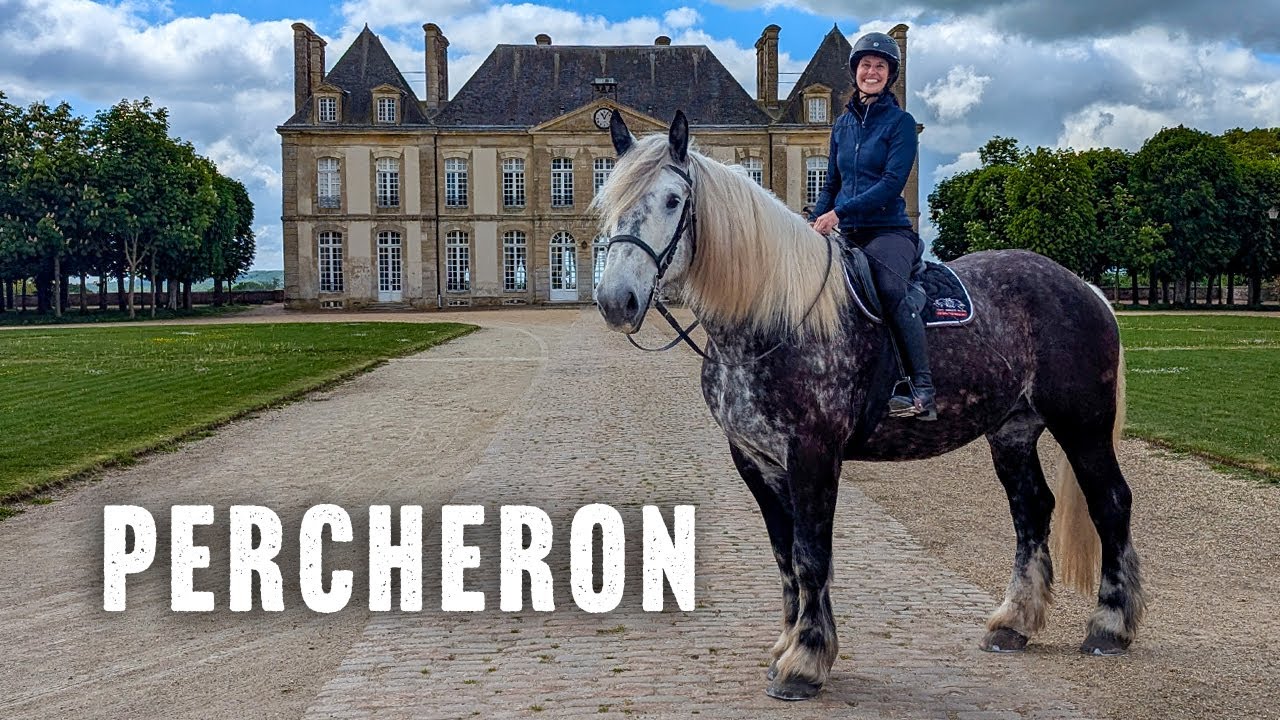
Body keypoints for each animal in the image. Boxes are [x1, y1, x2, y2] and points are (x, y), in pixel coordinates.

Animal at [592, 110, 1145, 701]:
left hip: (1083, 425)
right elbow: (785, 555)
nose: (616, 300)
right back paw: (1013, 623)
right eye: (610, 196)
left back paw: (1110, 627)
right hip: (1012, 432)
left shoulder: (813, 455)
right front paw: (787, 645)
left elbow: (811, 556)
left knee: (1110, 503)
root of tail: (1082, 285)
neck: (774, 316)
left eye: (673, 200)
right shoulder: (755, 461)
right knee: (1032, 509)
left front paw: (805, 662)